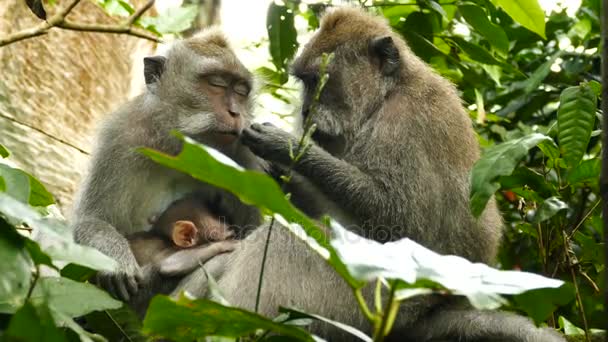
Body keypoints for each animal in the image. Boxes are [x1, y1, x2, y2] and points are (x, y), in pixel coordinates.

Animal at [71, 27, 262, 316]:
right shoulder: (121, 135)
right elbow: (91, 220)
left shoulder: (245, 157)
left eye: (241, 91)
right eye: (216, 83)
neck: (182, 147)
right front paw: (117, 263)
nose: (235, 112)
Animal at [178, 7, 568, 342]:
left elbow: (401, 222)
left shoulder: (405, 126)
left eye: (317, 81)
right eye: (303, 82)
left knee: (283, 243)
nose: (304, 111)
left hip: (374, 295)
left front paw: (286, 147)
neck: (386, 95)